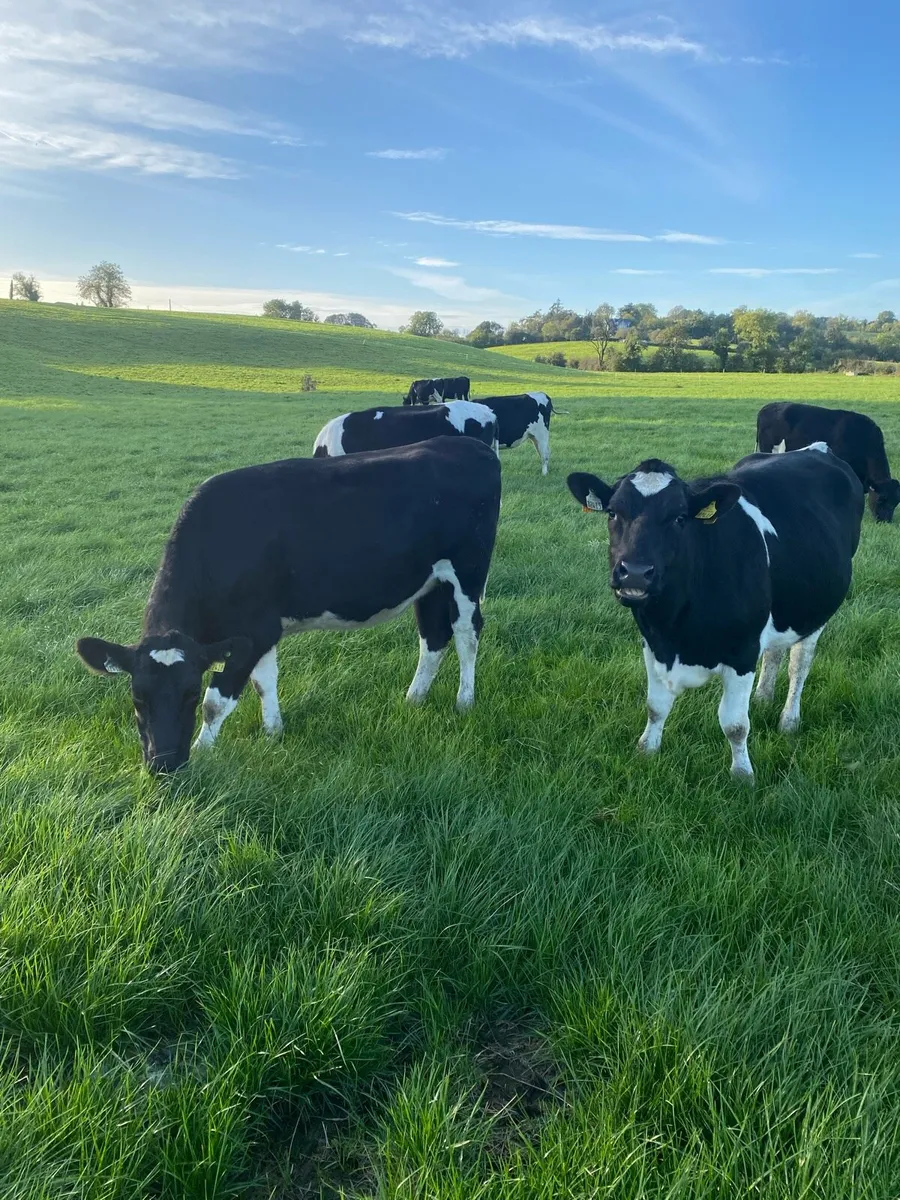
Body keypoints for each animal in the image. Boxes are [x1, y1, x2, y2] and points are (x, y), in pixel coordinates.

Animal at [76, 437, 501, 774]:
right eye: (137, 698)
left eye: (189, 694)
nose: (163, 764)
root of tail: (469, 445)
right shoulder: (260, 630)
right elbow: (264, 683)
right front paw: (273, 733)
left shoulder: (252, 632)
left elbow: (219, 700)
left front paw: (204, 751)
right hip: (429, 583)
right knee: (433, 637)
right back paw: (413, 700)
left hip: (467, 573)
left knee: (466, 634)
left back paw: (464, 701)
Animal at [567, 444, 863, 782]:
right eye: (613, 512)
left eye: (680, 517)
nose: (636, 573)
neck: (676, 630)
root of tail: (816, 447)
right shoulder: (652, 643)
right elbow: (655, 706)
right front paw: (647, 750)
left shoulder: (742, 651)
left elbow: (735, 724)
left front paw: (743, 775)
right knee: (774, 652)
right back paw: (763, 698)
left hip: (814, 612)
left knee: (799, 665)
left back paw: (789, 720)